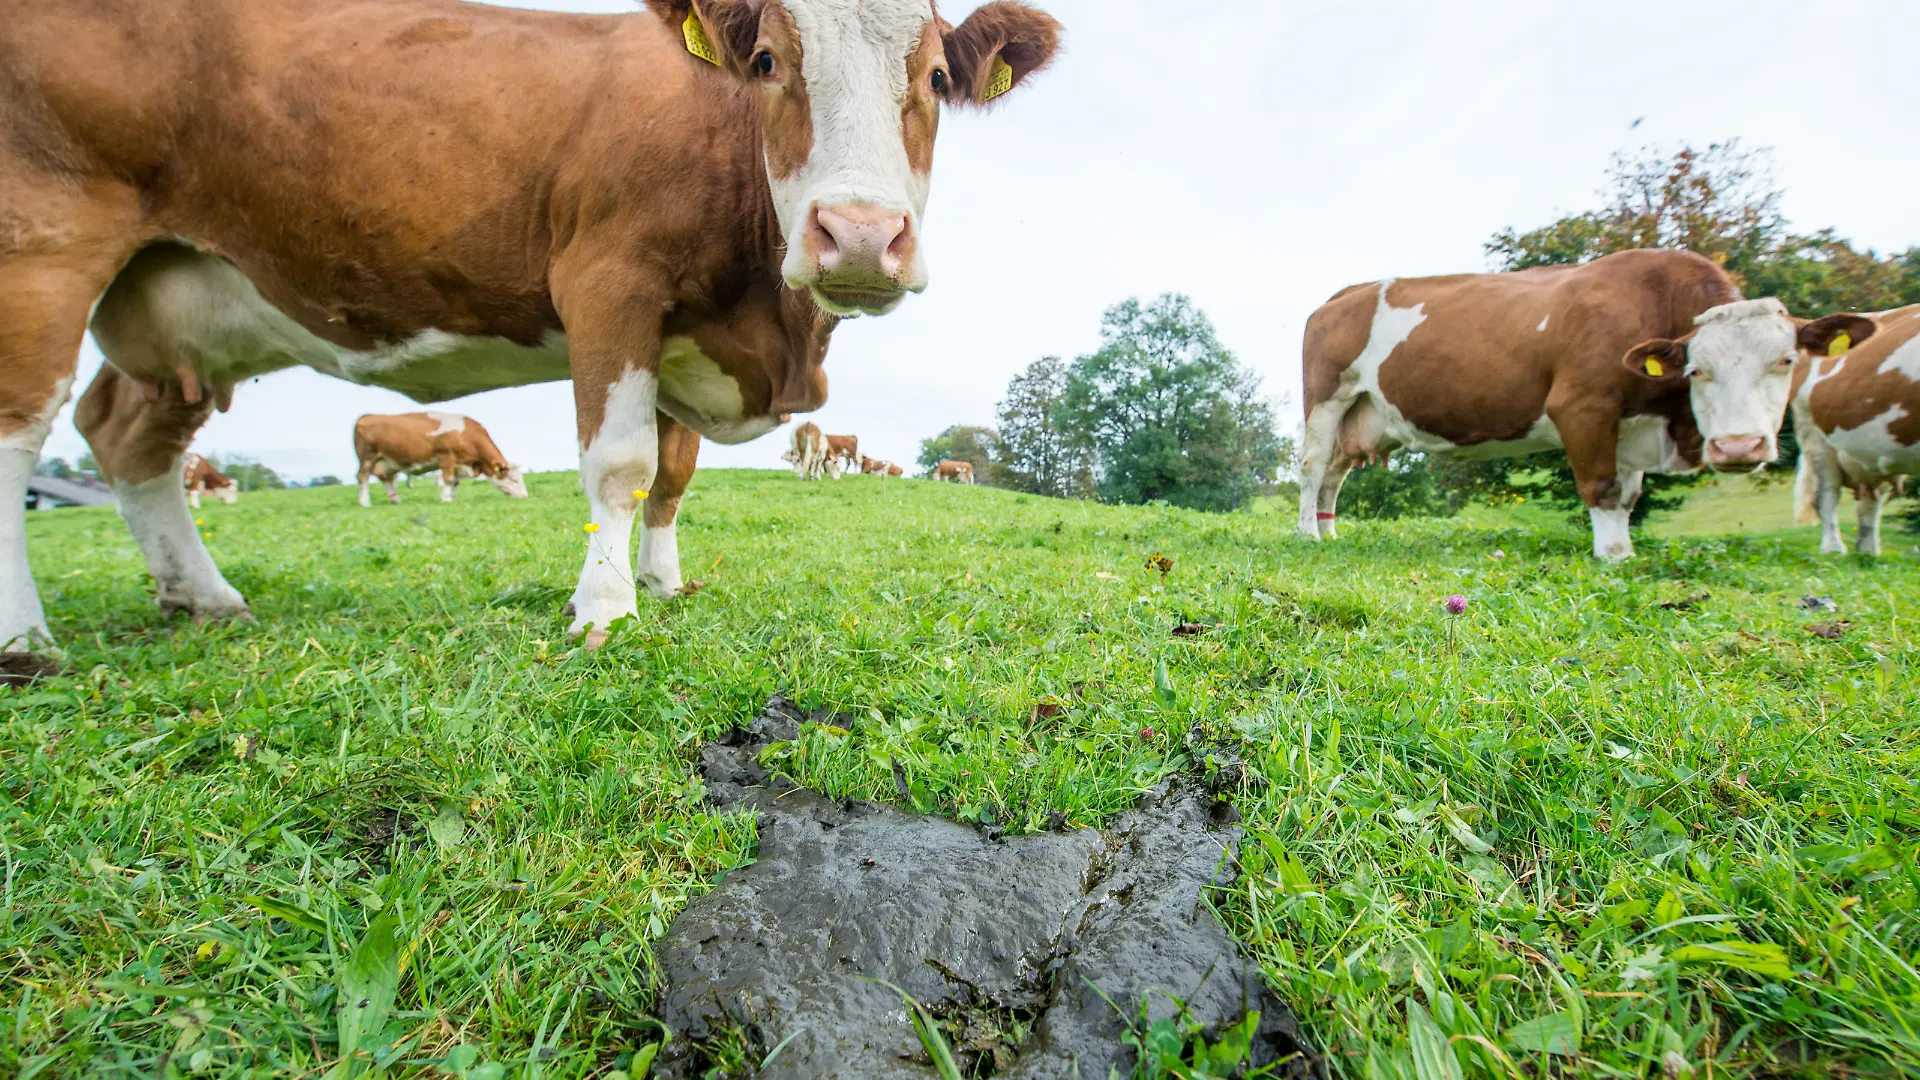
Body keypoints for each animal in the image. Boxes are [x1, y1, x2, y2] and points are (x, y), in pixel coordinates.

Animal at [354, 412, 528, 507]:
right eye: (514, 480)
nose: (525, 497)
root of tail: (366, 416)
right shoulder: (446, 457)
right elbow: (449, 480)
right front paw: (446, 499)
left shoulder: (459, 462)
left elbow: (455, 482)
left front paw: (452, 497)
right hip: (367, 458)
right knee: (362, 478)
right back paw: (365, 503)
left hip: (387, 462)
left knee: (386, 479)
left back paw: (396, 500)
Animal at [1296, 249, 1863, 561]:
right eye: (1697, 369)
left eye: (1786, 361)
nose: (1740, 446)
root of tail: (1343, 294)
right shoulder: (1583, 406)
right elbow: (1604, 488)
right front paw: (1611, 555)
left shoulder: (1632, 424)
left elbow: (1630, 495)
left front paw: (1625, 549)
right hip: (1327, 398)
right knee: (1312, 467)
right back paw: (1307, 533)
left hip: (1363, 413)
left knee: (1334, 475)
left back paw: (1329, 530)